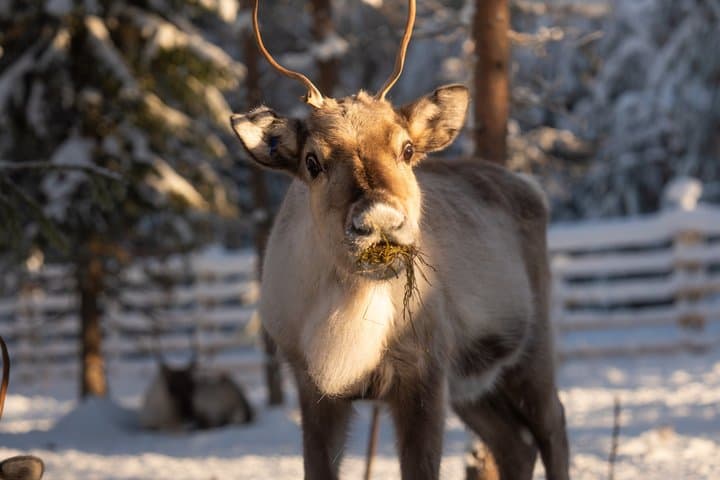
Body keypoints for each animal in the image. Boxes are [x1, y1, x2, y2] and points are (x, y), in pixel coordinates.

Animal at [229, 0, 569, 478]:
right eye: (312, 162)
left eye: (407, 149)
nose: (379, 219)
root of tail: (528, 187)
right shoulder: (313, 384)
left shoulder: (424, 372)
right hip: (473, 385)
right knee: (515, 446)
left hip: (531, 349)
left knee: (554, 428)